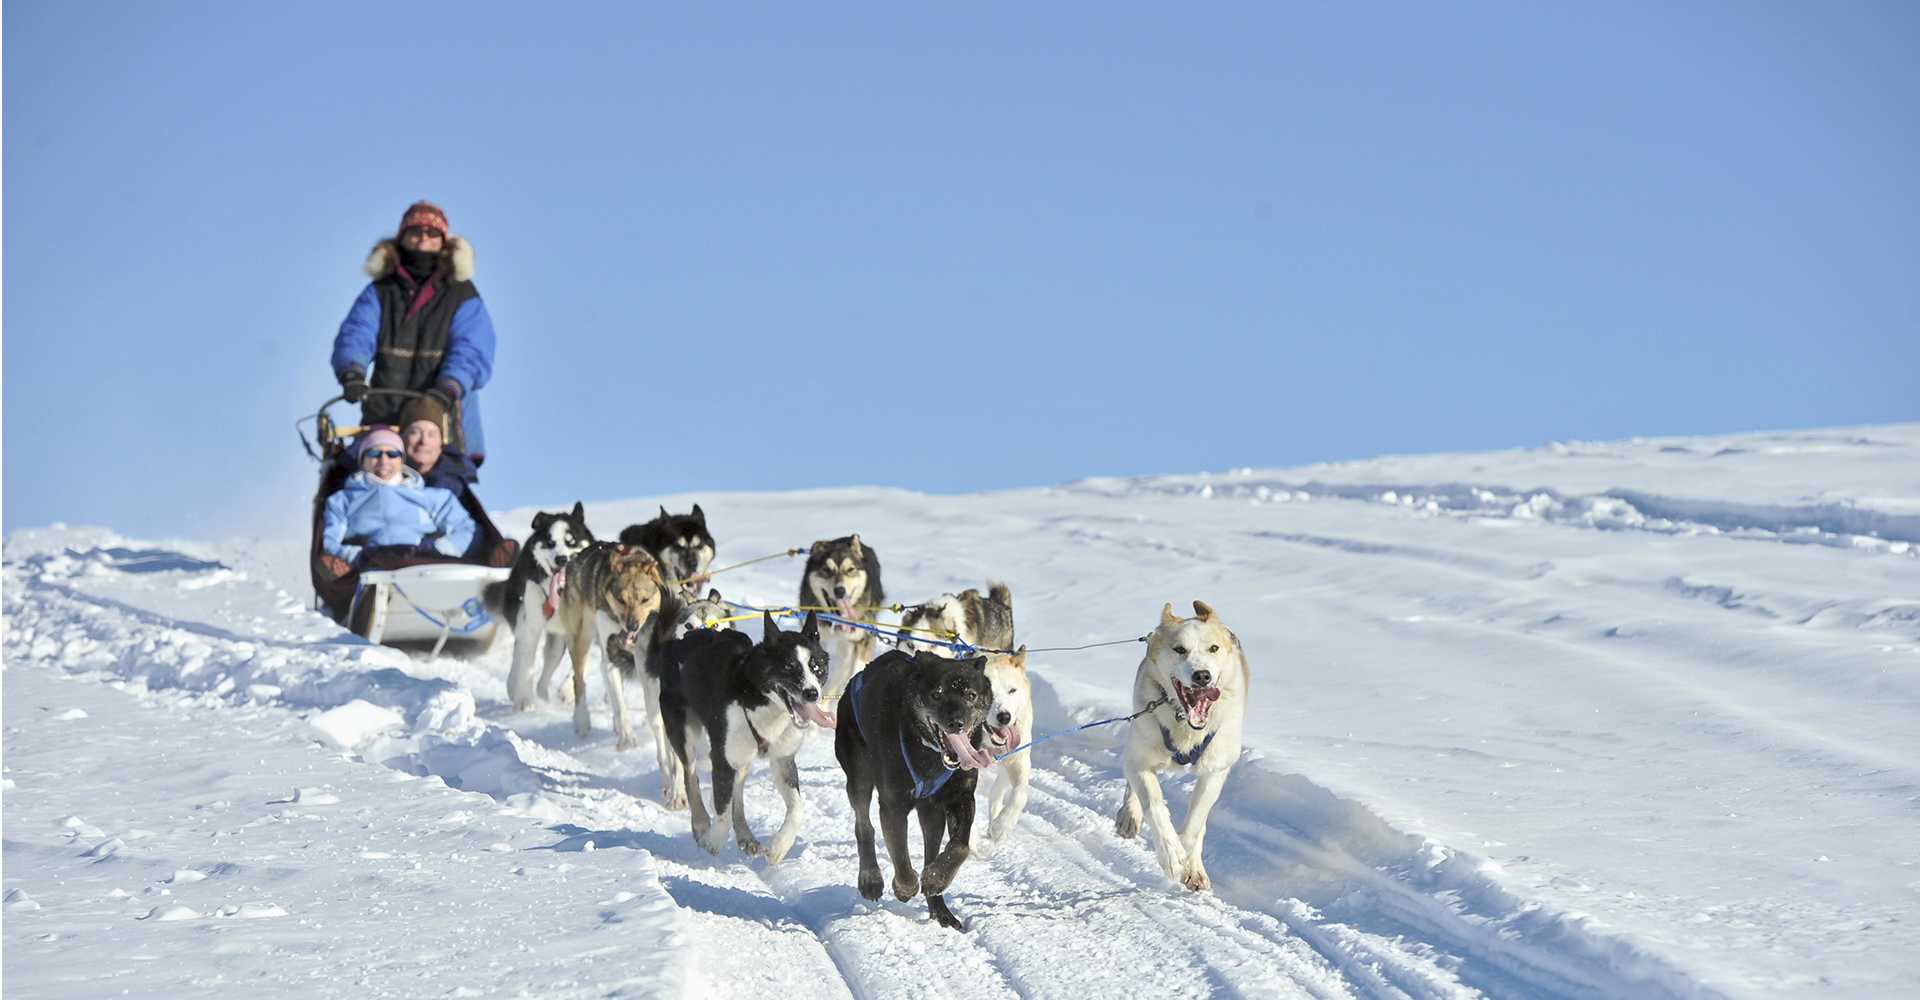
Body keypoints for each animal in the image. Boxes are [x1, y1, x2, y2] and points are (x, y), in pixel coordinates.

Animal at [506, 499, 595, 710]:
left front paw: (567, 691)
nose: (561, 559)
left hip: (558, 640)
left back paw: (544, 695)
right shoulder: (532, 623)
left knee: (547, 667)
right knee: (519, 653)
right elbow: (526, 664)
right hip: (523, 619)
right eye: (550, 542)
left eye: (571, 541)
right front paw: (524, 700)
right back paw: (514, 686)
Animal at [660, 606, 833, 856]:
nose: (812, 693)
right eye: (789, 666)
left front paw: (779, 846)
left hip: (742, 758)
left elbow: (797, 808)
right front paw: (712, 842)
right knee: (690, 776)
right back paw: (701, 824)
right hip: (684, 736)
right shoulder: (722, 759)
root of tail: (683, 639)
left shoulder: (782, 759)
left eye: (816, 666)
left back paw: (745, 834)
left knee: (738, 790)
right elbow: (722, 812)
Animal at [833, 648, 998, 928]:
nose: (957, 722)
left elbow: (960, 847)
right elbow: (900, 856)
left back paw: (939, 905)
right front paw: (904, 887)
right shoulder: (893, 806)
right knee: (863, 825)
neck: (927, 751)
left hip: (931, 813)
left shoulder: (961, 797)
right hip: (859, 778)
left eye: (971, 695)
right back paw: (870, 878)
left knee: (932, 851)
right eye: (937, 694)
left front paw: (936, 879)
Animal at [1113, 598, 1244, 890]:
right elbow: (1154, 805)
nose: (1202, 676)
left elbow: (1196, 823)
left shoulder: (1215, 770)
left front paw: (1187, 858)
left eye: (1214, 648)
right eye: (1179, 649)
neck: (1184, 725)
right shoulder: (1141, 760)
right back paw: (1129, 815)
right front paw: (1171, 854)